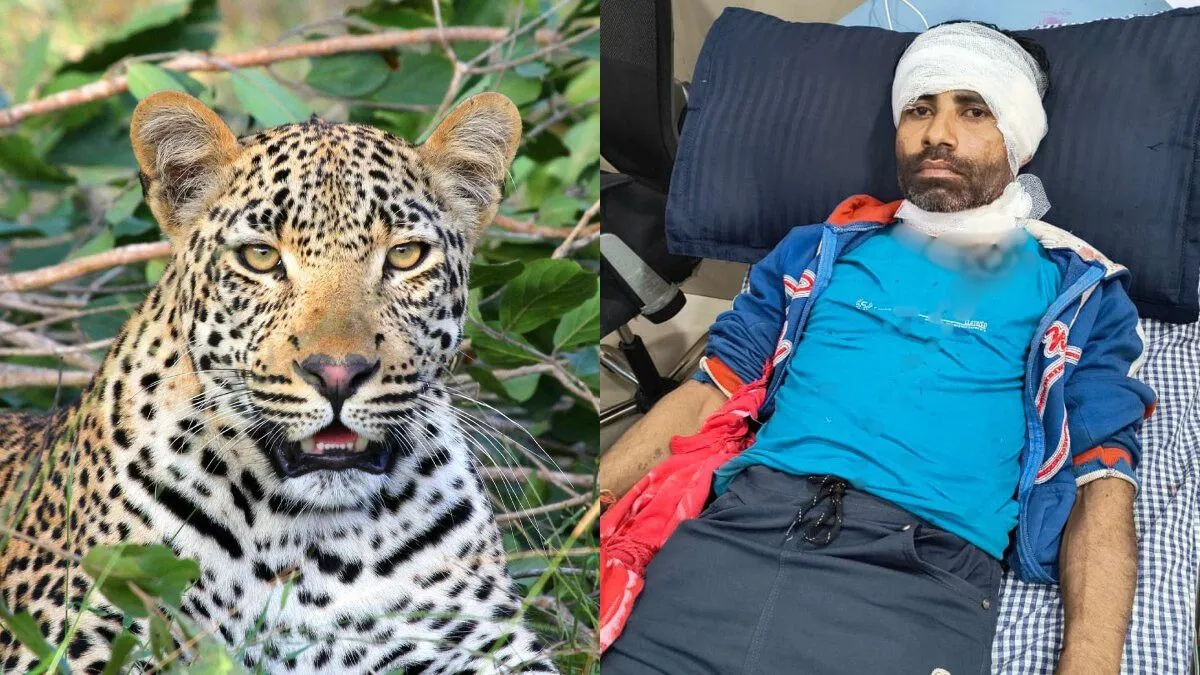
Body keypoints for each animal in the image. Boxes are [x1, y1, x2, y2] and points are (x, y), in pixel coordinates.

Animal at [0, 90, 561, 674]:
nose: (337, 372)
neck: (311, 546)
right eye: (261, 256)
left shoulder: (478, 642)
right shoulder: (79, 636)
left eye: (406, 255)